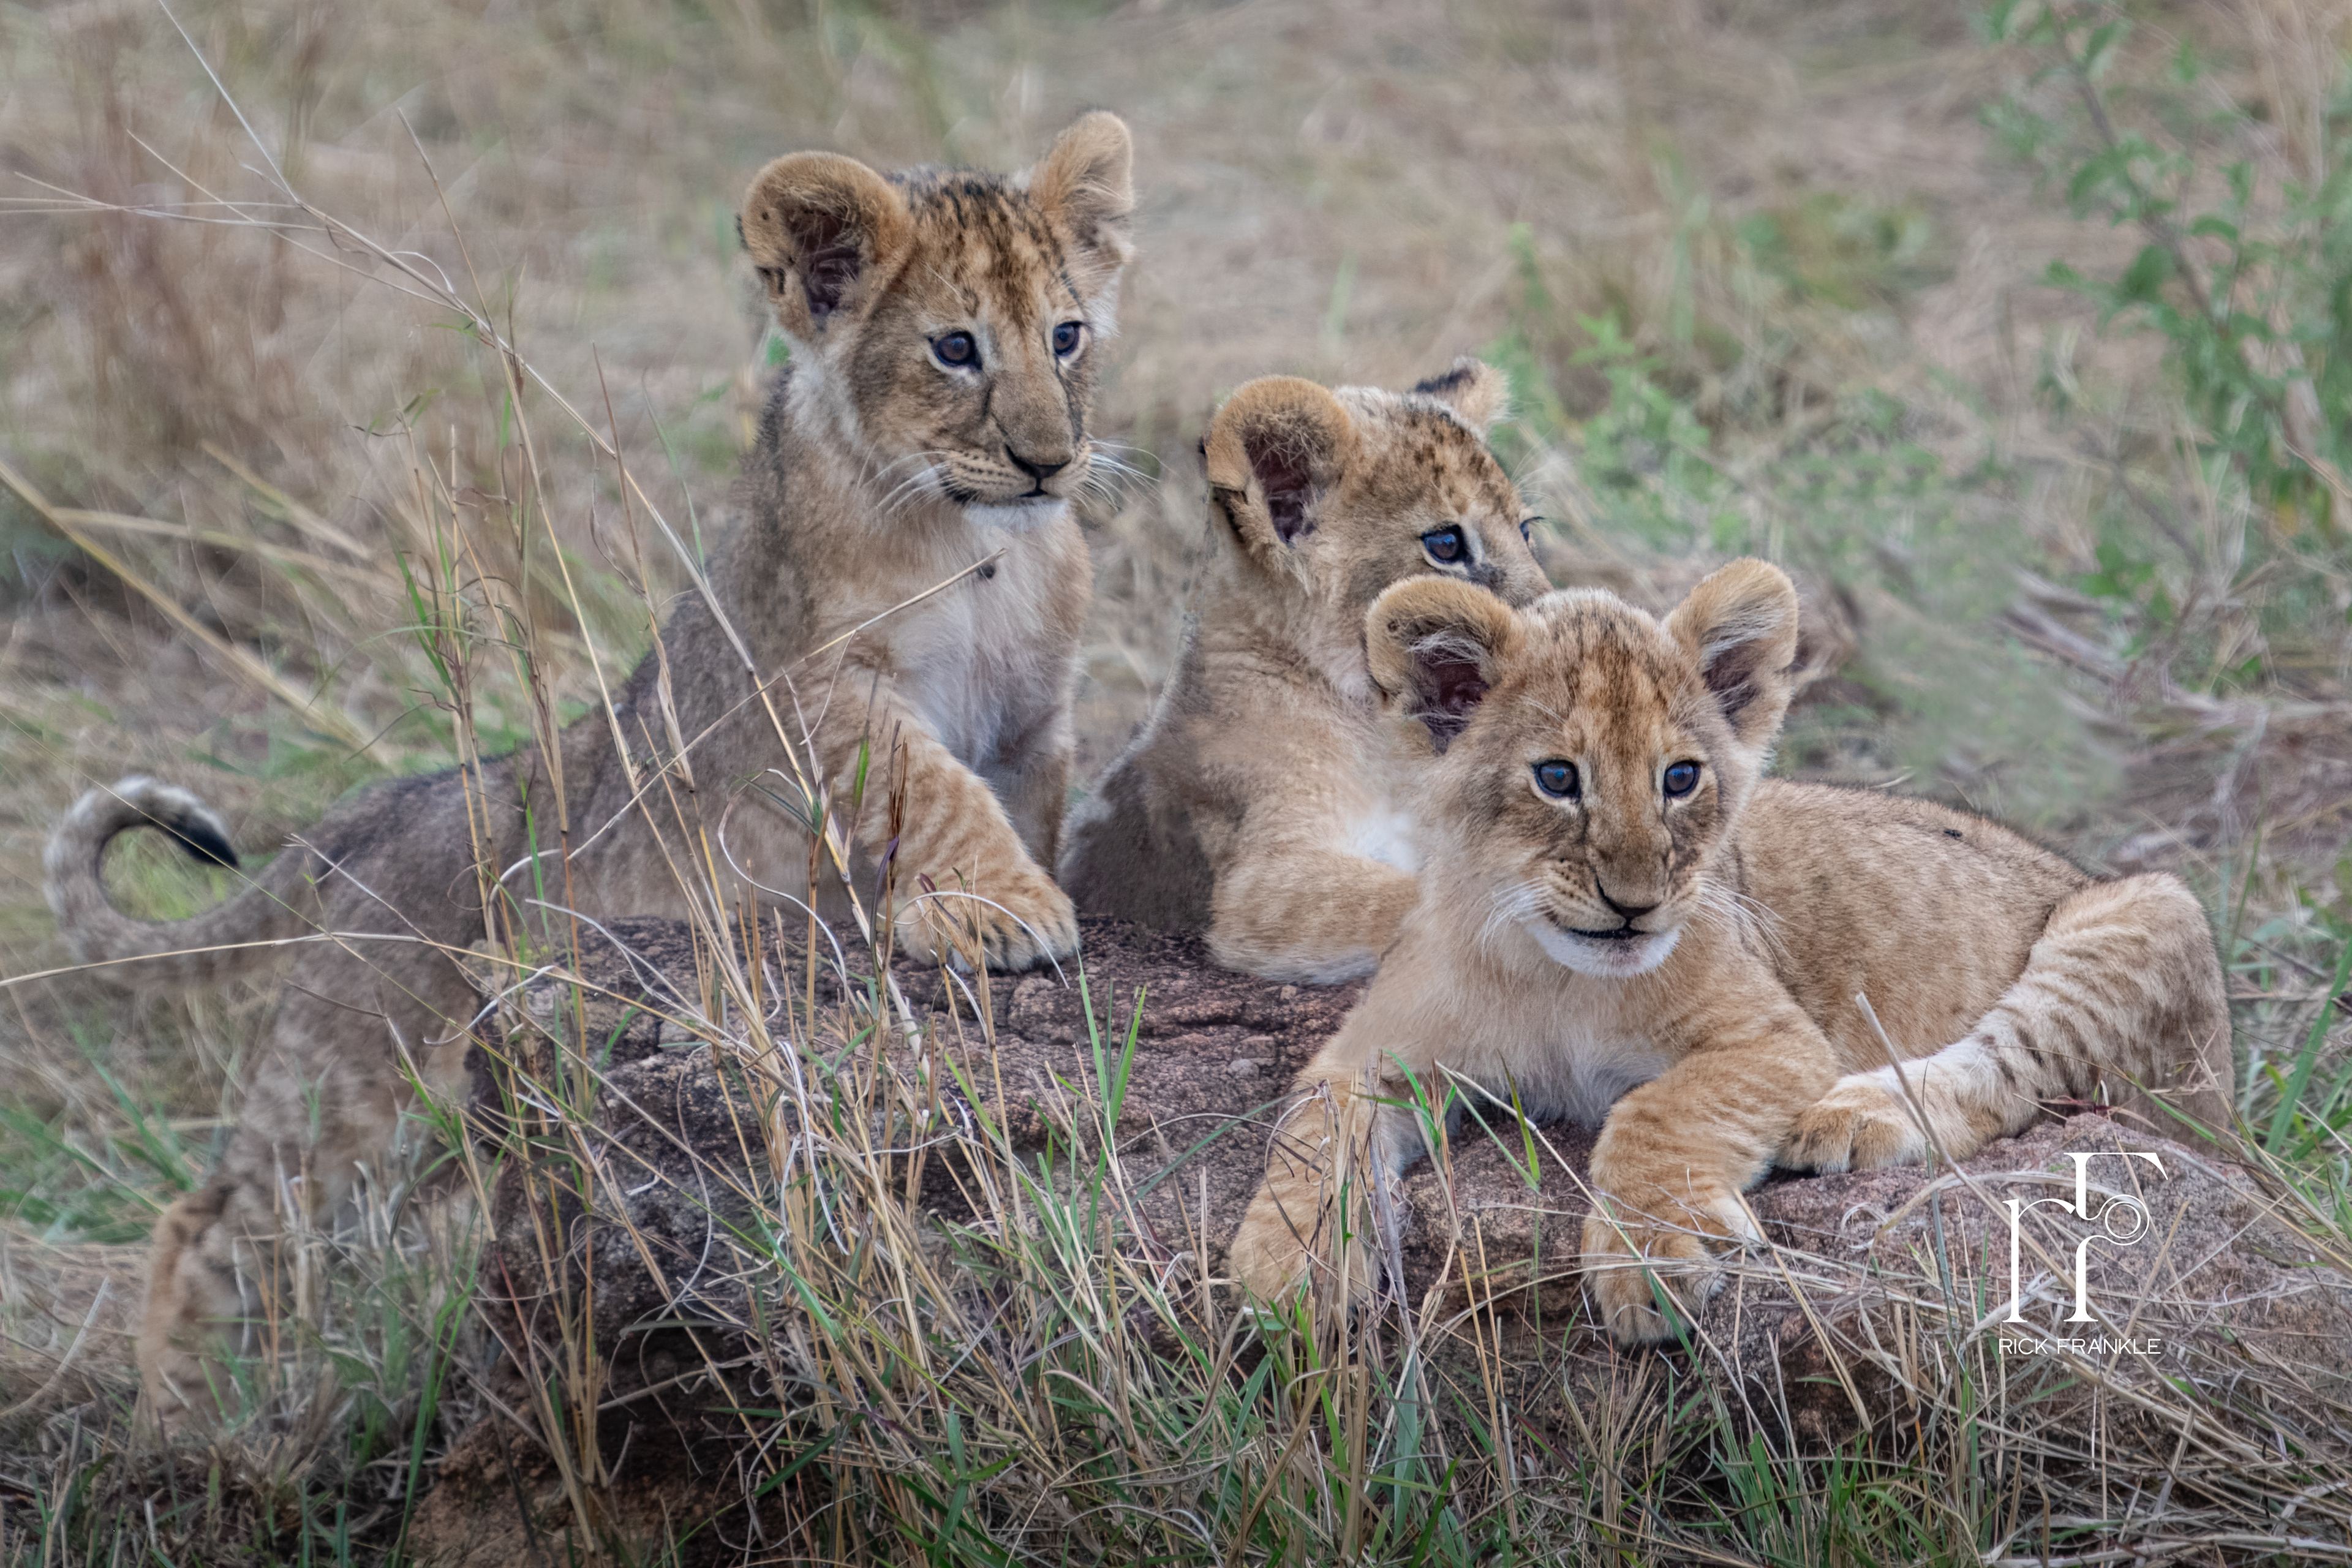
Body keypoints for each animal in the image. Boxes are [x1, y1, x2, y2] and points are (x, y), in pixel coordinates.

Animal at [45, 112, 1136, 1422]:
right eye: (956, 348)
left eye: (1066, 335)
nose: (1050, 462)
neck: (983, 545)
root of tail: (375, 812)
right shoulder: (817, 691)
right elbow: (933, 790)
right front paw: (1003, 911)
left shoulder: (1035, 714)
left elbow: (1024, 798)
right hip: (354, 1088)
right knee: (210, 1219)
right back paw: (187, 1427)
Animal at [1225, 560, 2232, 1342]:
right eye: (1557, 778)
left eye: (1680, 778)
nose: (1635, 906)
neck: (1555, 975)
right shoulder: (1369, 1052)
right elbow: (1312, 1135)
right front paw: (1286, 1272)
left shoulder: (1775, 1038)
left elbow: (1659, 1110)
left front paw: (1652, 1262)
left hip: (2150, 908)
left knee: (2012, 1072)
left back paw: (1849, 1115)